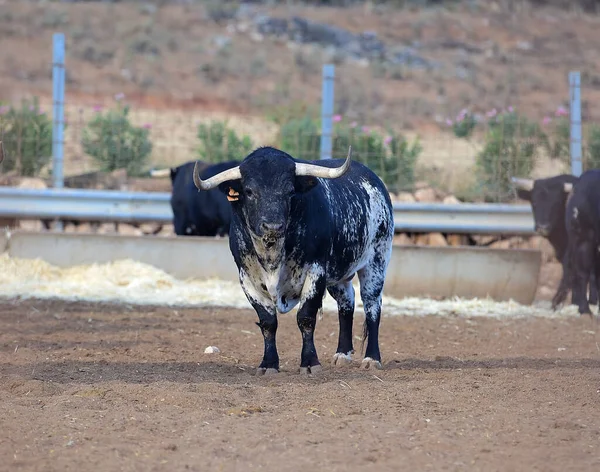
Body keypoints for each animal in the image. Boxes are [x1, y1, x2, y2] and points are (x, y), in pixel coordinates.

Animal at [190, 146, 394, 374]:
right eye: (249, 191)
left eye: (290, 191)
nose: (272, 226)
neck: (272, 255)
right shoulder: (247, 278)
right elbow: (268, 322)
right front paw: (269, 364)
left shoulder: (316, 272)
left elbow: (305, 318)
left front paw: (310, 363)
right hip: (339, 274)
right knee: (346, 304)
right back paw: (342, 354)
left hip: (377, 261)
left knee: (372, 306)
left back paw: (371, 358)